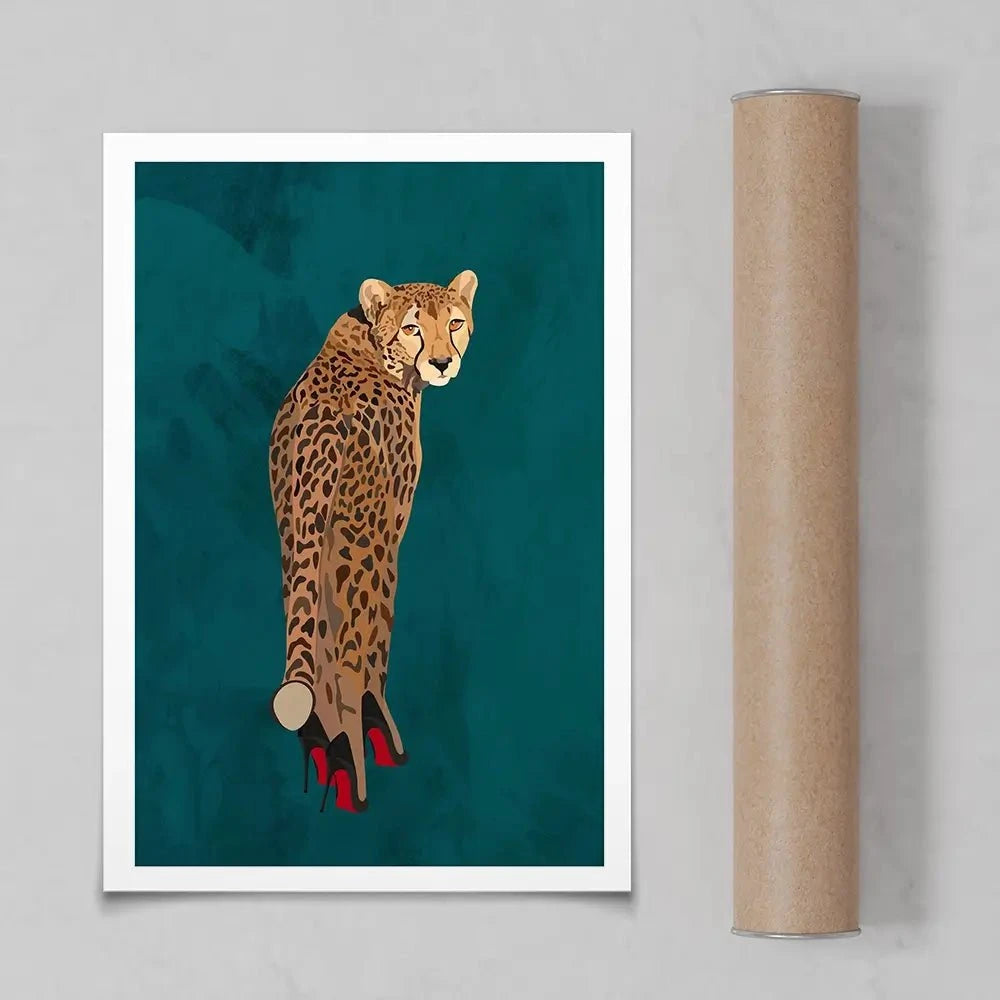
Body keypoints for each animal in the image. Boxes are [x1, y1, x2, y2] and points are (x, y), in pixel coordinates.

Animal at [267, 270, 478, 812]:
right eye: (412, 329)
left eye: (454, 322)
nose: (443, 362)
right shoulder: (389, 525)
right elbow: (378, 632)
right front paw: (375, 724)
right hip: (359, 543)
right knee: (349, 649)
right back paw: (358, 755)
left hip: (296, 534)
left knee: (314, 632)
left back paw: (325, 743)